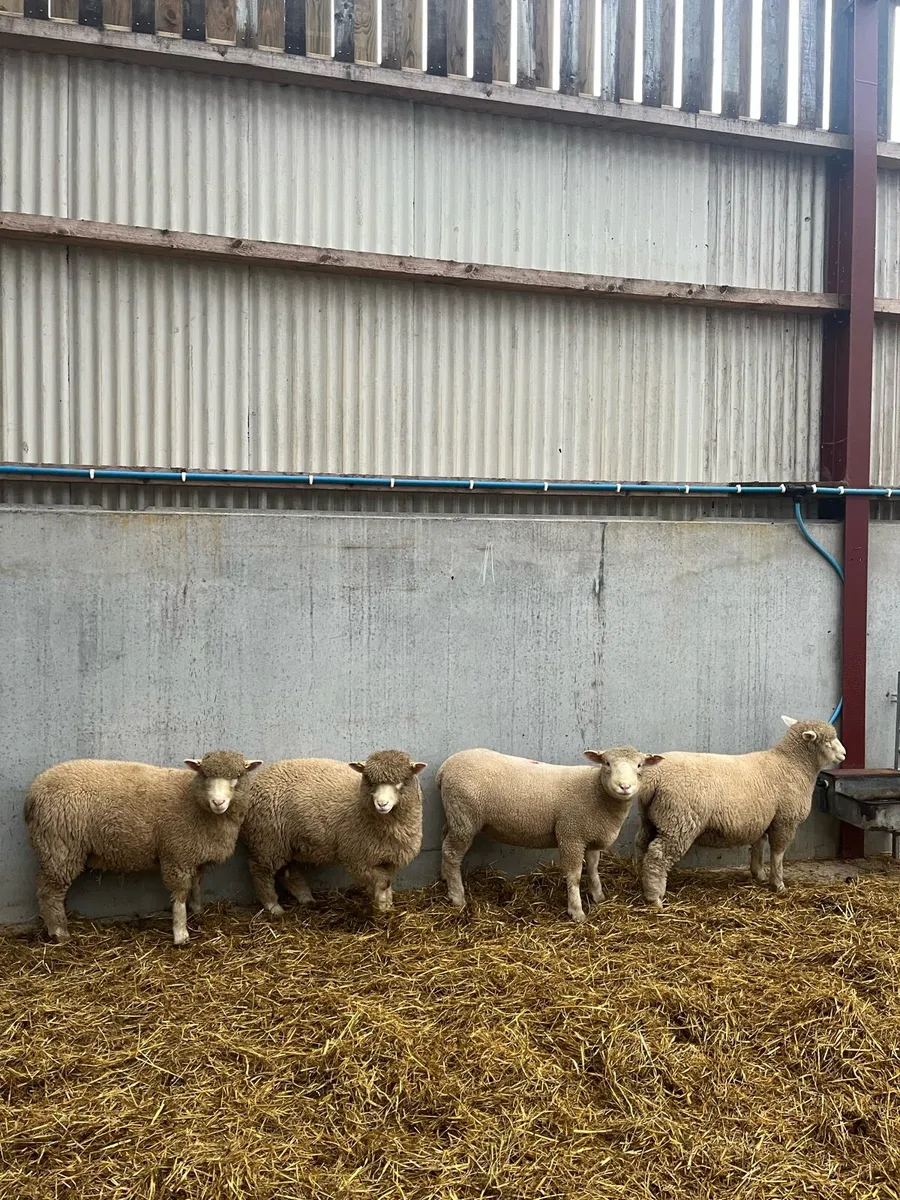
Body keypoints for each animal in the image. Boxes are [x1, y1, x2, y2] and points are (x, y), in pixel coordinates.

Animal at [24, 751, 263, 945]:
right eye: (205, 775)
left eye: (237, 776)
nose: (218, 802)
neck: (194, 802)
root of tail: (34, 792)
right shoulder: (176, 854)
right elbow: (180, 894)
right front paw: (180, 933)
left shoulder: (195, 856)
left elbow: (195, 886)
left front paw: (197, 912)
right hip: (60, 847)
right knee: (49, 892)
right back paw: (59, 933)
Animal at [241, 751, 427, 915]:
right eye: (370, 781)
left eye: (401, 781)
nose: (382, 804)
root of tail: (256, 779)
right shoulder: (358, 859)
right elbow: (382, 882)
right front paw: (381, 909)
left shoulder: (391, 858)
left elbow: (387, 883)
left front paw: (387, 907)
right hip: (267, 839)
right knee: (259, 870)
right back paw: (273, 906)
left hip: (285, 843)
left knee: (288, 872)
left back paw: (306, 898)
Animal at [437, 746, 663, 922]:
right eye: (607, 763)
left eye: (640, 766)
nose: (624, 786)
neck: (596, 791)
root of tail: (444, 768)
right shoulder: (571, 834)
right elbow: (574, 876)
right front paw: (577, 911)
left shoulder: (590, 836)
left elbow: (593, 868)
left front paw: (599, 897)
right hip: (464, 817)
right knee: (452, 854)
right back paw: (457, 898)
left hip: (454, 815)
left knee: (445, 844)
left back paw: (446, 880)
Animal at [635, 716, 847, 909]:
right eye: (828, 741)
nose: (844, 754)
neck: (792, 764)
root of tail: (654, 779)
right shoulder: (785, 820)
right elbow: (778, 853)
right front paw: (778, 884)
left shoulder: (762, 818)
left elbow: (758, 846)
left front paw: (758, 874)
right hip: (680, 820)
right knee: (658, 856)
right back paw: (655, 898)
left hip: (651, 818)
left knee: (642, 845)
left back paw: (641, 880)